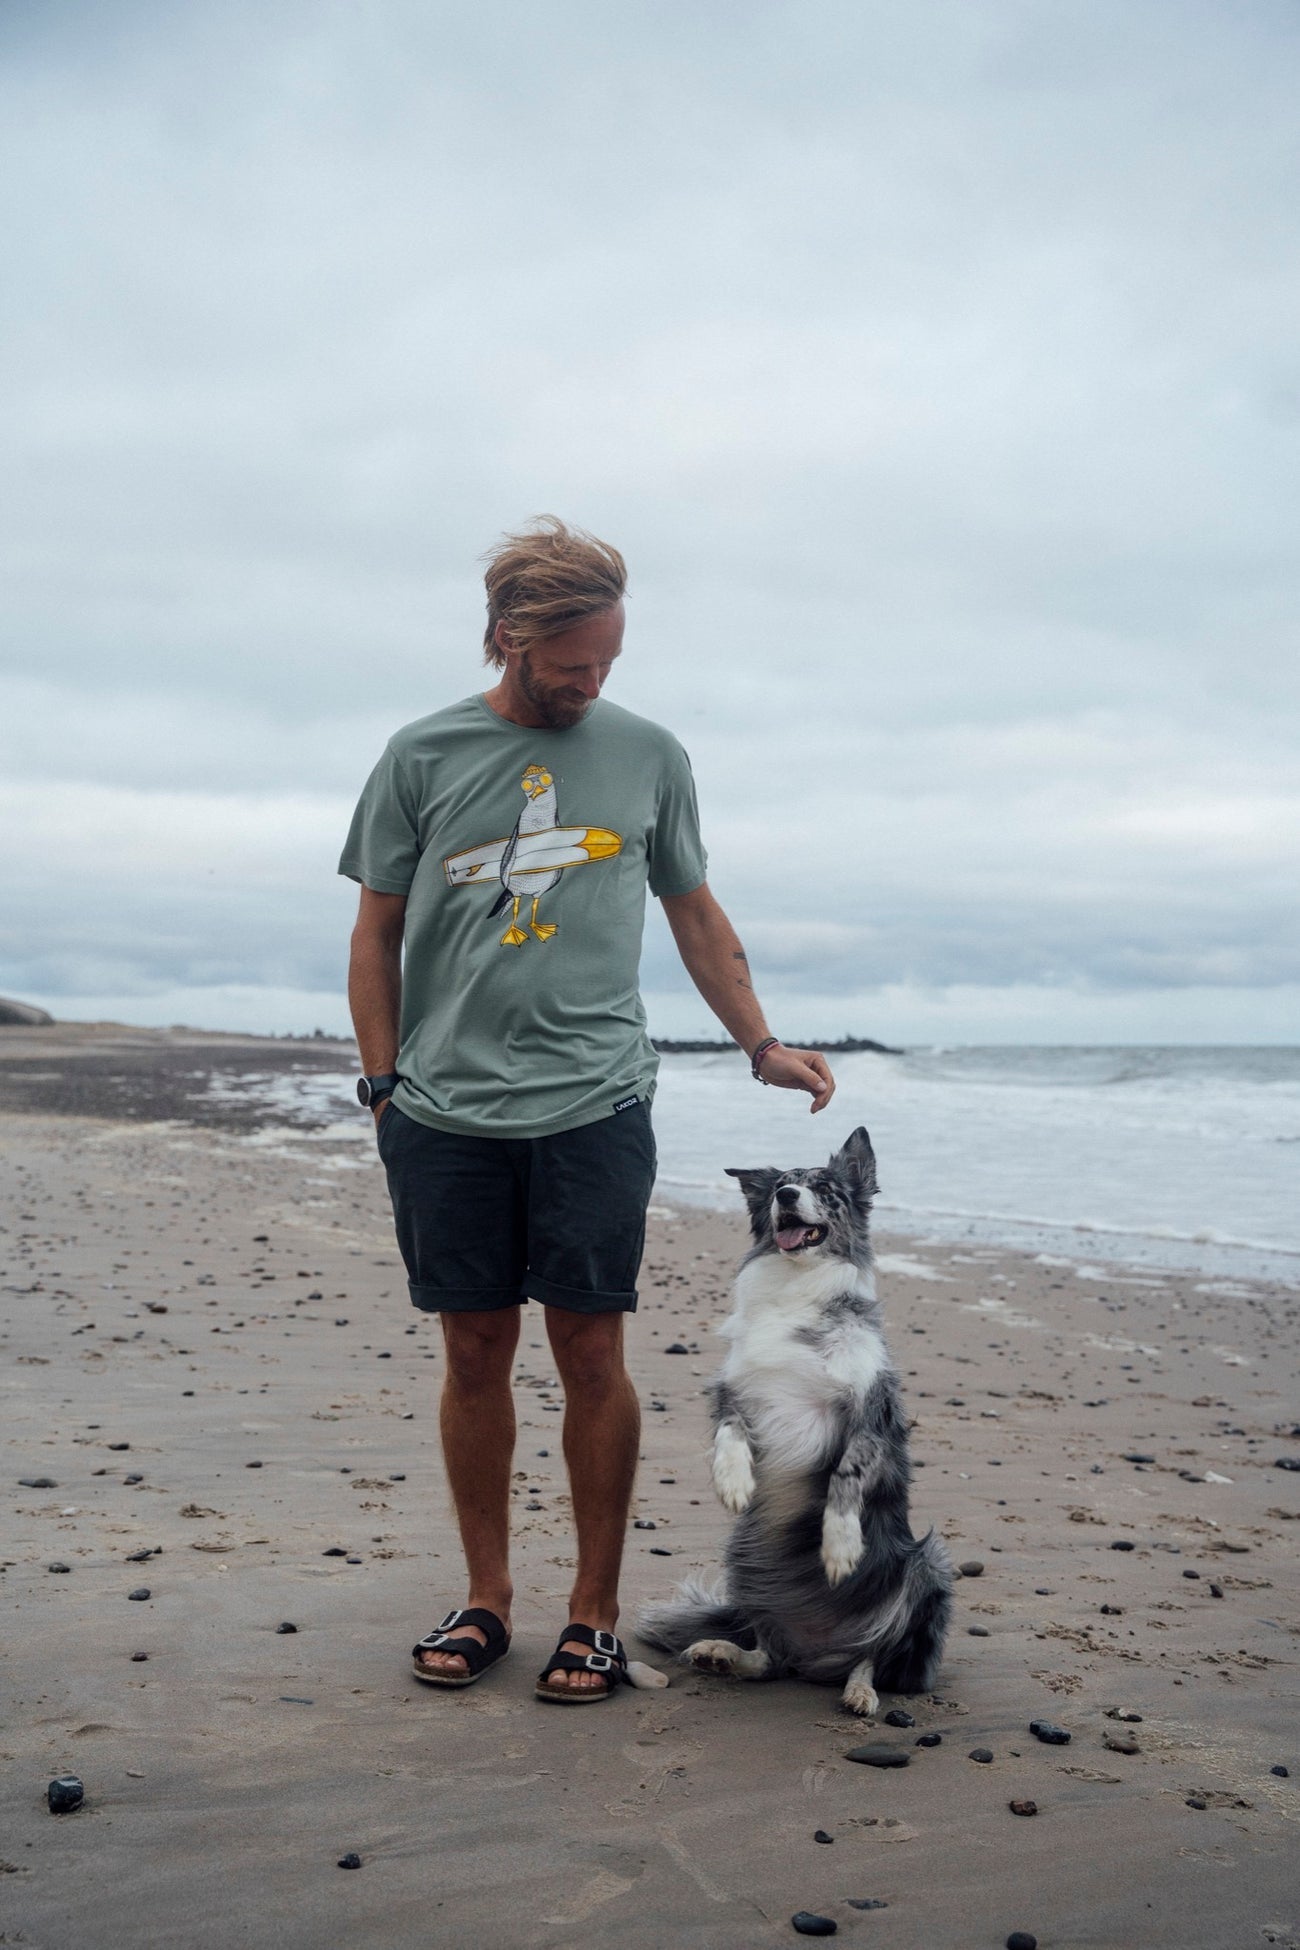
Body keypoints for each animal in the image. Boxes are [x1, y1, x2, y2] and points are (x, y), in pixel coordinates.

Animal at [643, 1123, 955, 1716]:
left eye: (825, 1188)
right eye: (779, 1186)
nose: (786, 1196)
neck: (796, 1288)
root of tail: (818, 1652)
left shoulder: (869, 1415)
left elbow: (846, 1475)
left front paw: (839, 1547)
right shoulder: (737, 1392)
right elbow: (730, 1433)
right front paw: (733, 1482)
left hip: (926, 1568)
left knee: (875, 1651)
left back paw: (858, 1688)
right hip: (746, 1559)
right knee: (769, 1659)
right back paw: (724, 1653)